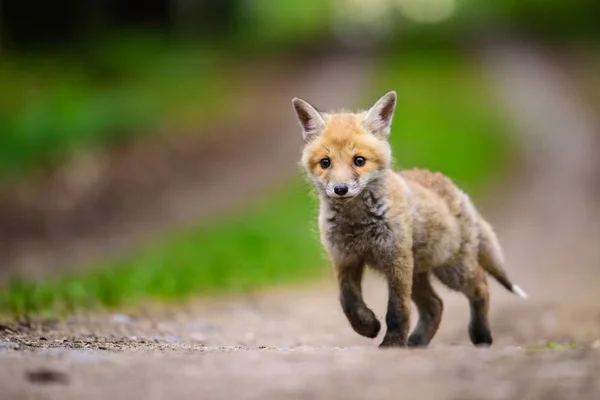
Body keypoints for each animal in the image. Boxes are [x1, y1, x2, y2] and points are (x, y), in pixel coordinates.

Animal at [292, 90, 528, 346]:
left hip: (450, 269)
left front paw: (392, 343)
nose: (341, 189)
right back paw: (417, 342)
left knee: (481, 286)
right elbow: (349, 302)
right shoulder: (345, 259)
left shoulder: (396, 259)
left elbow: (397, 309)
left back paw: (481, 336)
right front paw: (367, 326)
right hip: (419, 273)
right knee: (436, 305)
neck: (357, 224)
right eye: (325, 163)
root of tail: (455, 189)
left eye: (359, 161)